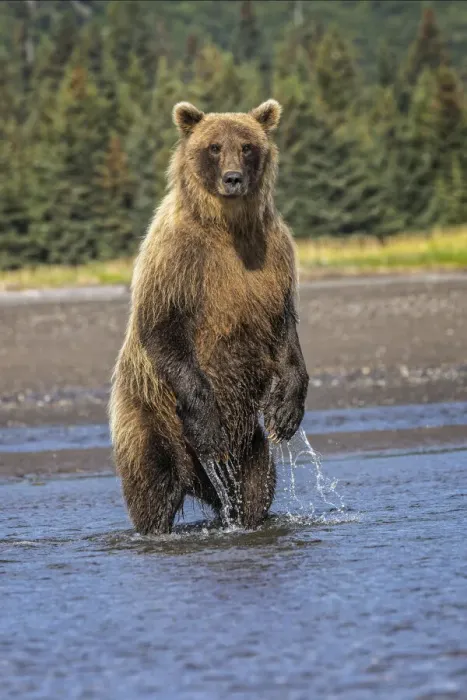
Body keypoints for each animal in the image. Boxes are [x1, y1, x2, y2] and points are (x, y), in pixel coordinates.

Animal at [108, 99, 309, 534]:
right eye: (214, 147)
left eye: (247, 146)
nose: (233, 179)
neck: (227, 225)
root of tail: (197, 479)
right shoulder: (175, 261)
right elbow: (164, 329)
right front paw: (208, 425)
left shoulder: (274, 256)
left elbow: (284, 327)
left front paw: (285, 412)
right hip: (150, 419)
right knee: (154, 485)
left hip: (249, 445)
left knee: (256, 485)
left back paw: (246, 517)